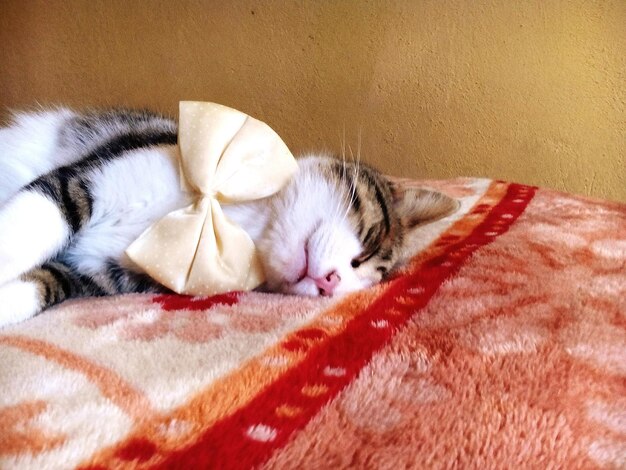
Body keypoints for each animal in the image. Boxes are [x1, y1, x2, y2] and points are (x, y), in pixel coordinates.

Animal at [0, 106, 458, 326]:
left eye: (358, 280)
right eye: (369, 240)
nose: (331, 282)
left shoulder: (96, 272)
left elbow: (44, 282)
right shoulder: (85, 181)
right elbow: (29, 228)